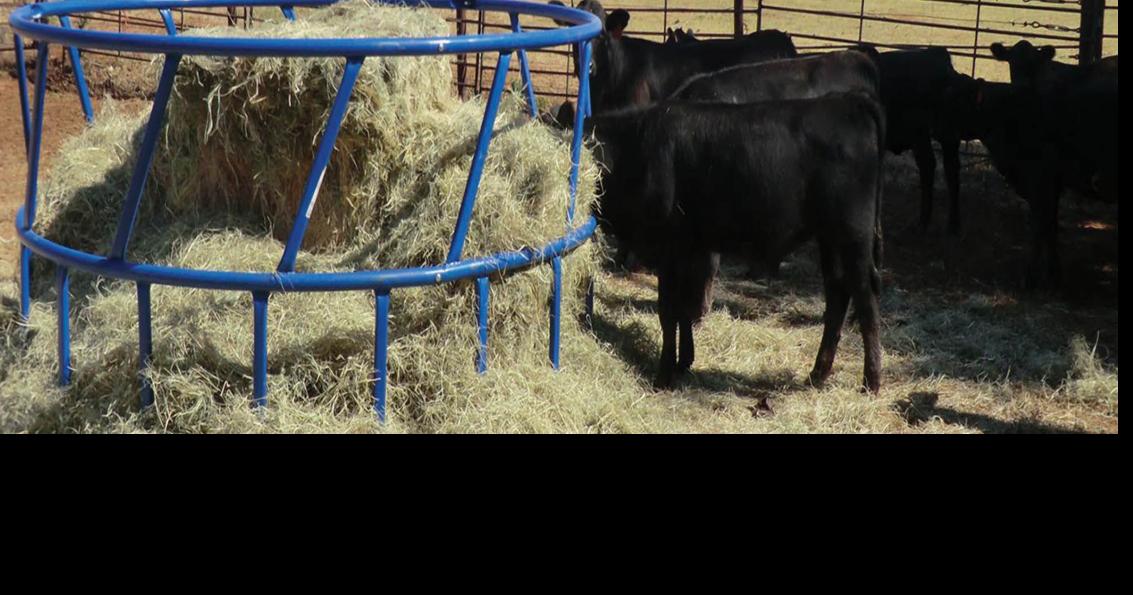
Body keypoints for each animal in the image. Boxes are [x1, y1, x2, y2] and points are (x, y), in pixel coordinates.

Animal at [564, 94, 883, 389]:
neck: (636, 151)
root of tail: (848, 101)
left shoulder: (669, 248)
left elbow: (668, 312)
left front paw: (664, 375)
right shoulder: (690, 249)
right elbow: (685, 310)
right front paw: (684, 361)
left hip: (853, 236)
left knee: (865, 301)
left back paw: (871, 381)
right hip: (830, 240)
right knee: (837, 296)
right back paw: (818, 373)